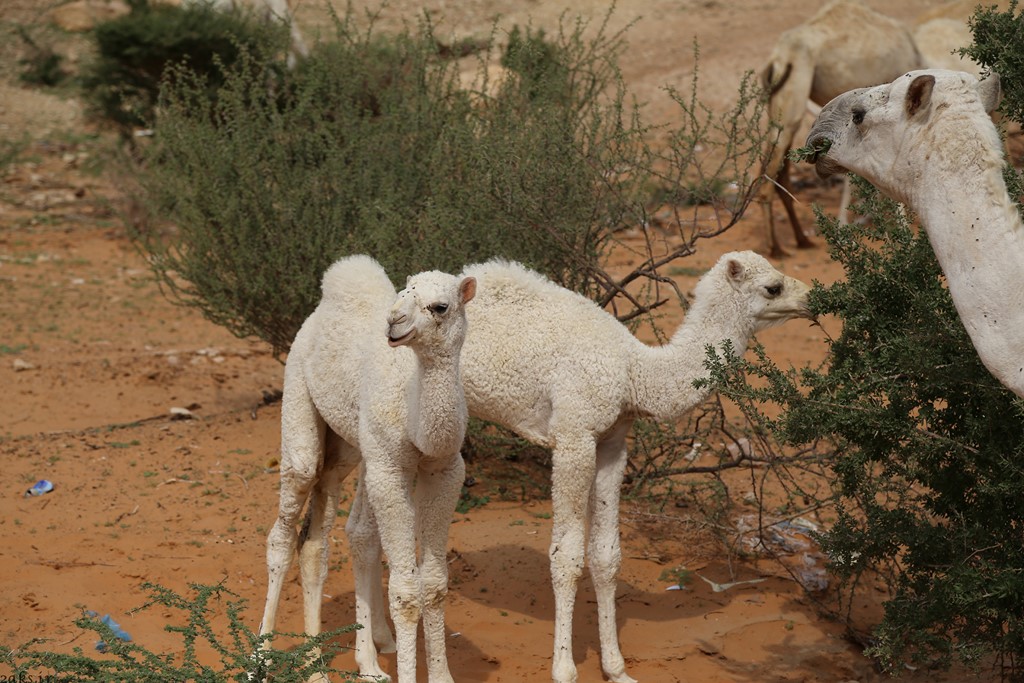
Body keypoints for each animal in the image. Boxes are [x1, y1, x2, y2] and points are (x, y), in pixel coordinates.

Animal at [256, 255, 479, 683]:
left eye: (440, 306)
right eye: (404, 294)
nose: (394, 322)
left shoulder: (445, 470)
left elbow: (434, 583)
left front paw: (439, 674)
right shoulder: (389, 469)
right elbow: (406, 592)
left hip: (347, 450)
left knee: (316, 542)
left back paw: (316, 665)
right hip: (299, 399)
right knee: (284, 530)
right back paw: (259, 660)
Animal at [348, 250, 811, 683]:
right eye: (772, 287)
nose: (813, 297)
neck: (634, 371)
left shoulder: (612, 442)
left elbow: (606, 556)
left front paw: (616, 667)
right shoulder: (574, 437)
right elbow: (566, 557)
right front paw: (565, 668)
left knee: (363, 527)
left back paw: (381, 642)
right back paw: (370, 659)